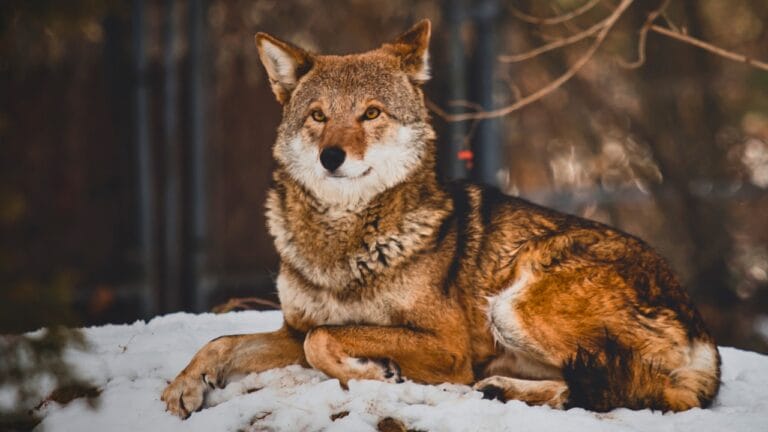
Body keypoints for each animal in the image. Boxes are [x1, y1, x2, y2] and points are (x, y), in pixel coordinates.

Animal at [161, 19, 720, 418]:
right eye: (318, 116)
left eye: (371, 113)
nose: (331, 157)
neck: (342, 239)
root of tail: (705, 338)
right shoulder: (291, 329)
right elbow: (223, 341)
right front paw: (184, 386)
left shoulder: (447, 348)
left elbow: (327, 339)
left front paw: (373, 375)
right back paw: (506, 390)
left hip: (514, 302)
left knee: (635, 391)